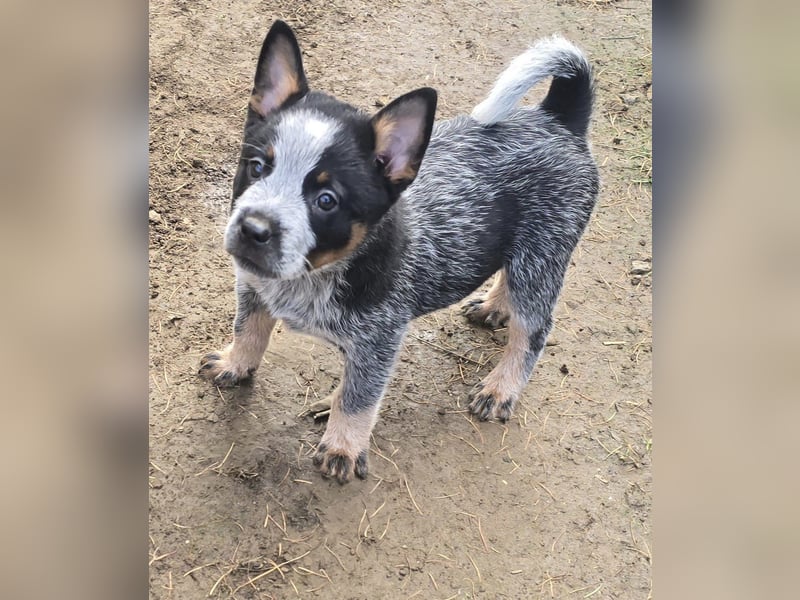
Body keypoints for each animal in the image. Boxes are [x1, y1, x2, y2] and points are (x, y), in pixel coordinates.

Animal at [200, 21, 600, 486]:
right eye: (257, 167)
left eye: (326, 200)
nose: (253, 230)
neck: (314, 275)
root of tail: (558, 118)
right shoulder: (253, 287)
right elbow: (248, 329)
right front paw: (235, 363)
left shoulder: (380, 340)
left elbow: (356, 399)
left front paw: (343, 446)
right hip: (524, 252)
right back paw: (494, 306)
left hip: (543, 255)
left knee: (533, 328)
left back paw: (501, 387)